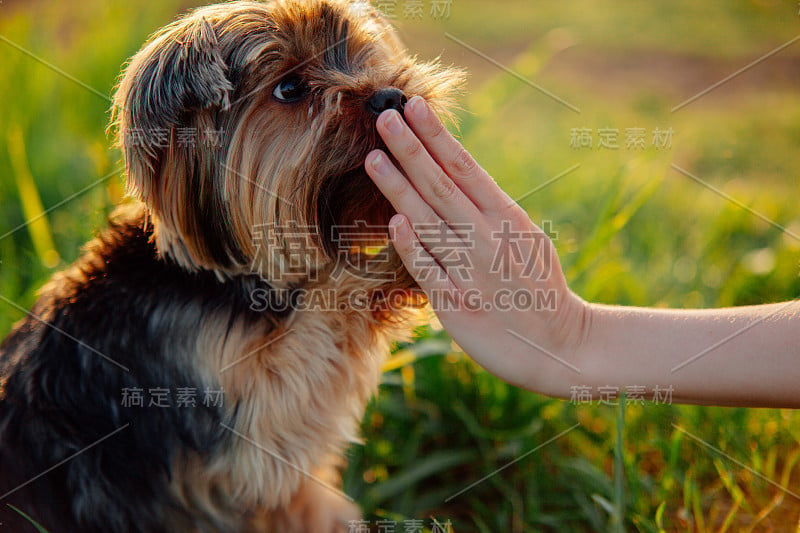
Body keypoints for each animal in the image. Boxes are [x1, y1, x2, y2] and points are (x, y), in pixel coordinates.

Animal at [0, 2, 462, 528]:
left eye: (363, 56)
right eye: (289, 88)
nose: (391, 95)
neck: (221, 276)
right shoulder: (237, 407)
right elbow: (318, 330)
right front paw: (407, 256)